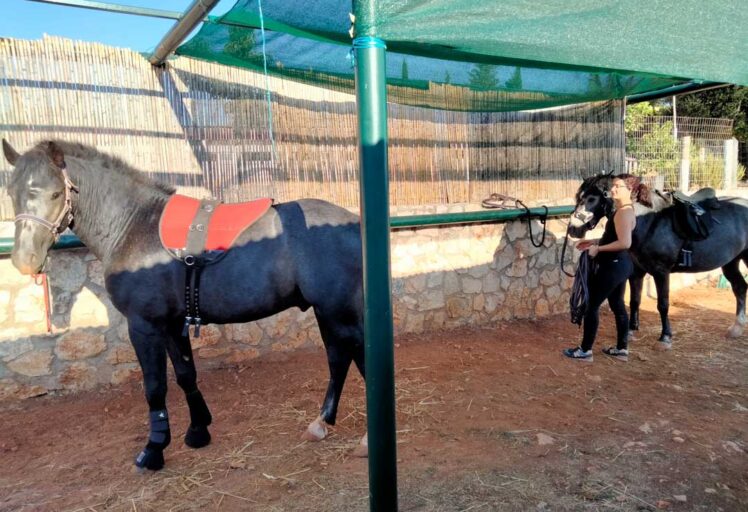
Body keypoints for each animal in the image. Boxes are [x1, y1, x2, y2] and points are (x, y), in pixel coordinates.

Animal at [2, 139, 366, 471]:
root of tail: (353, 223)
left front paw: (153, 449)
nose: (25, 260)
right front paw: (198, 430)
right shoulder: (172, 324)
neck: (134, 226)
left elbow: (155, 386)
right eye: (13, 192)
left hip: (339, 313)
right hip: (328, 312)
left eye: (54, 194)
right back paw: (321, 422)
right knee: (340, 359)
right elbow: (185, 375)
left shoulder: (143, 326)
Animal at [568, 173, 748, 347]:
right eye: (578, 196)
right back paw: (736, 328)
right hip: (731, 262)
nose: (573, 229)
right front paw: (631, 330)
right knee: (740, 287)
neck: (647, 221)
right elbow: (635, 300)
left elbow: (663, 304)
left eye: (592, 198)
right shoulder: (637, 272)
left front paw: (665, 336)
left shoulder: (661, 272)